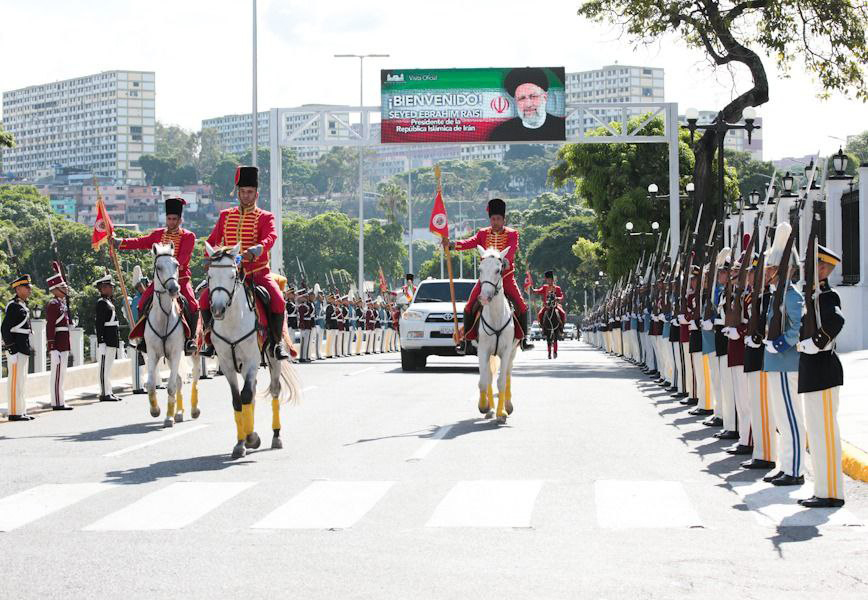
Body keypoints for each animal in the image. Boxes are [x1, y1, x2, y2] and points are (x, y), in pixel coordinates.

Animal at [144, 241, 198, 424]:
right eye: (158, 267)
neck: (164, 315)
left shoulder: (175, 352)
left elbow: (171, 387)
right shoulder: (153, 353)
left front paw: (168, 417)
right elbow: (151, 385)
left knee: (194, 377)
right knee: (180, 380)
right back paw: (179, 413)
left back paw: (193, 410)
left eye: (176, 265)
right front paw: (156, 410)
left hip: (194, 352)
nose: (174, 288)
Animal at [205, 241, 304, 458]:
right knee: (251, 392)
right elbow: (238, 400)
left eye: (232, 275)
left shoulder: (251, 360)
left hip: (272, 358)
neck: (233, 321)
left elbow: (246, 395)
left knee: (274, 390)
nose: (217, 309)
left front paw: (251, 438)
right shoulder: (227, 364)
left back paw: (276, 436)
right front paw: (241, 442)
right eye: (210, 275)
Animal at [472, 246, 520, 424]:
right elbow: (484, 381)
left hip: (512, 352)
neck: (496, 315)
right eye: (480, 269)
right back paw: (490, 409)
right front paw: (485, 406)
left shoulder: (506, 351)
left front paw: (502, 413)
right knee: (489, 377)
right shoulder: (483, 350)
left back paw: (507, 405)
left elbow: (501, 382)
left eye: (498, 270)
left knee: (507, 374)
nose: (484, 297)